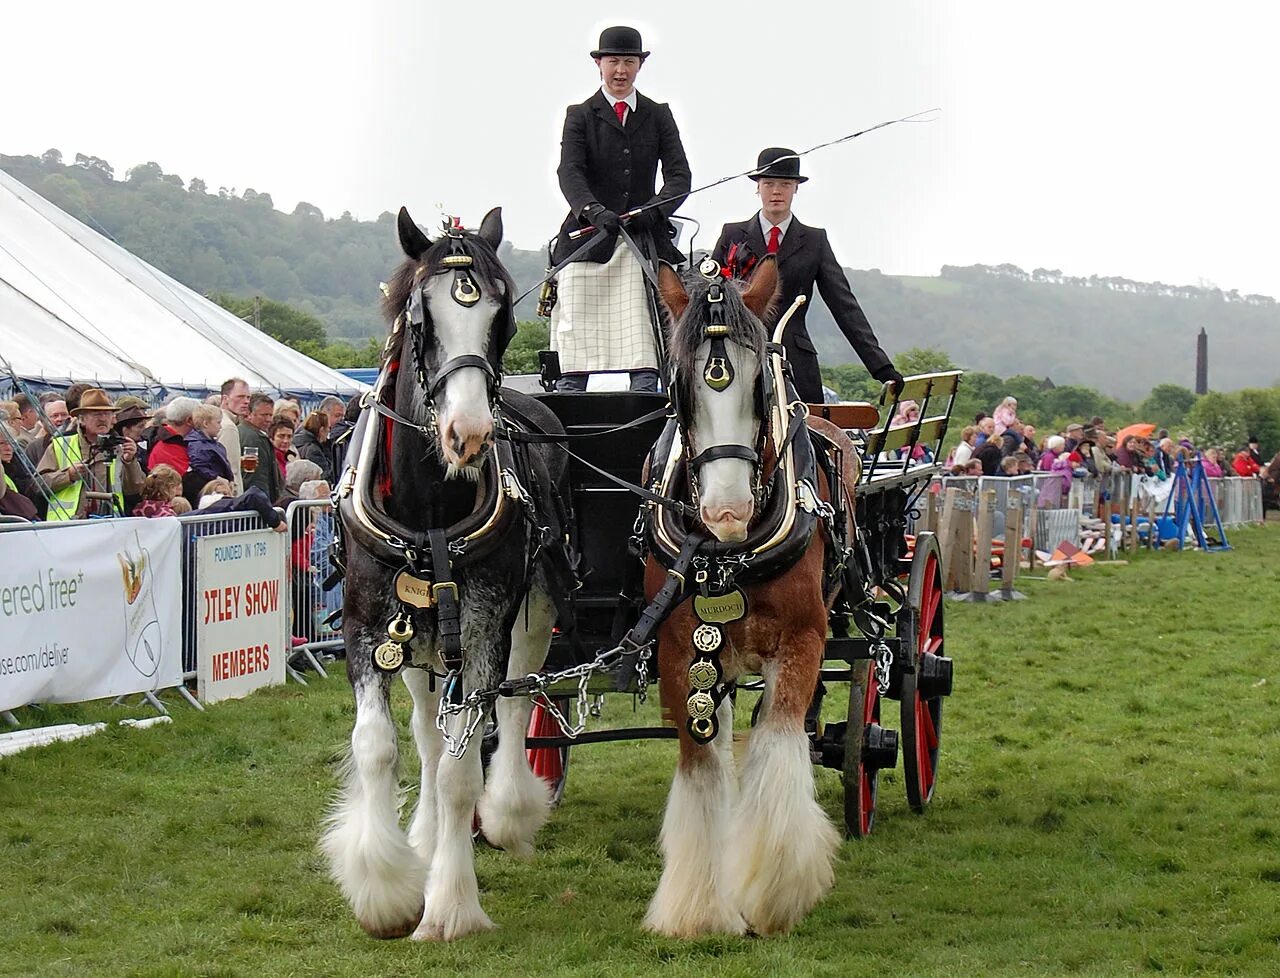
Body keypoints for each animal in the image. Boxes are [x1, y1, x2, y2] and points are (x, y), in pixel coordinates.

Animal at [325, 206, 570, 942]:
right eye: (419, 316)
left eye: (502, 317)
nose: (469, 433)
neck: (429, 502)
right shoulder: (367, 622)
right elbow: (381, 746)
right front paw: (386, 887)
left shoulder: (487, 621)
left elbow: (465, 766)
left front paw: (450, 905)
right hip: (422, 638)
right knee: (428, 735)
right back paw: (427, 838)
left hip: (528, 614)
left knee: (516, 705)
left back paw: (511, 810)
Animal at [645, 256, 855, 937]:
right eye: (678, 388)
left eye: (761, 383)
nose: (727, 512)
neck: (731, 555)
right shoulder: (679, 649)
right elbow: (702, 763)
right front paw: (698, 907)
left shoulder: (803, 639)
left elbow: (780, 742)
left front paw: (775, 889)